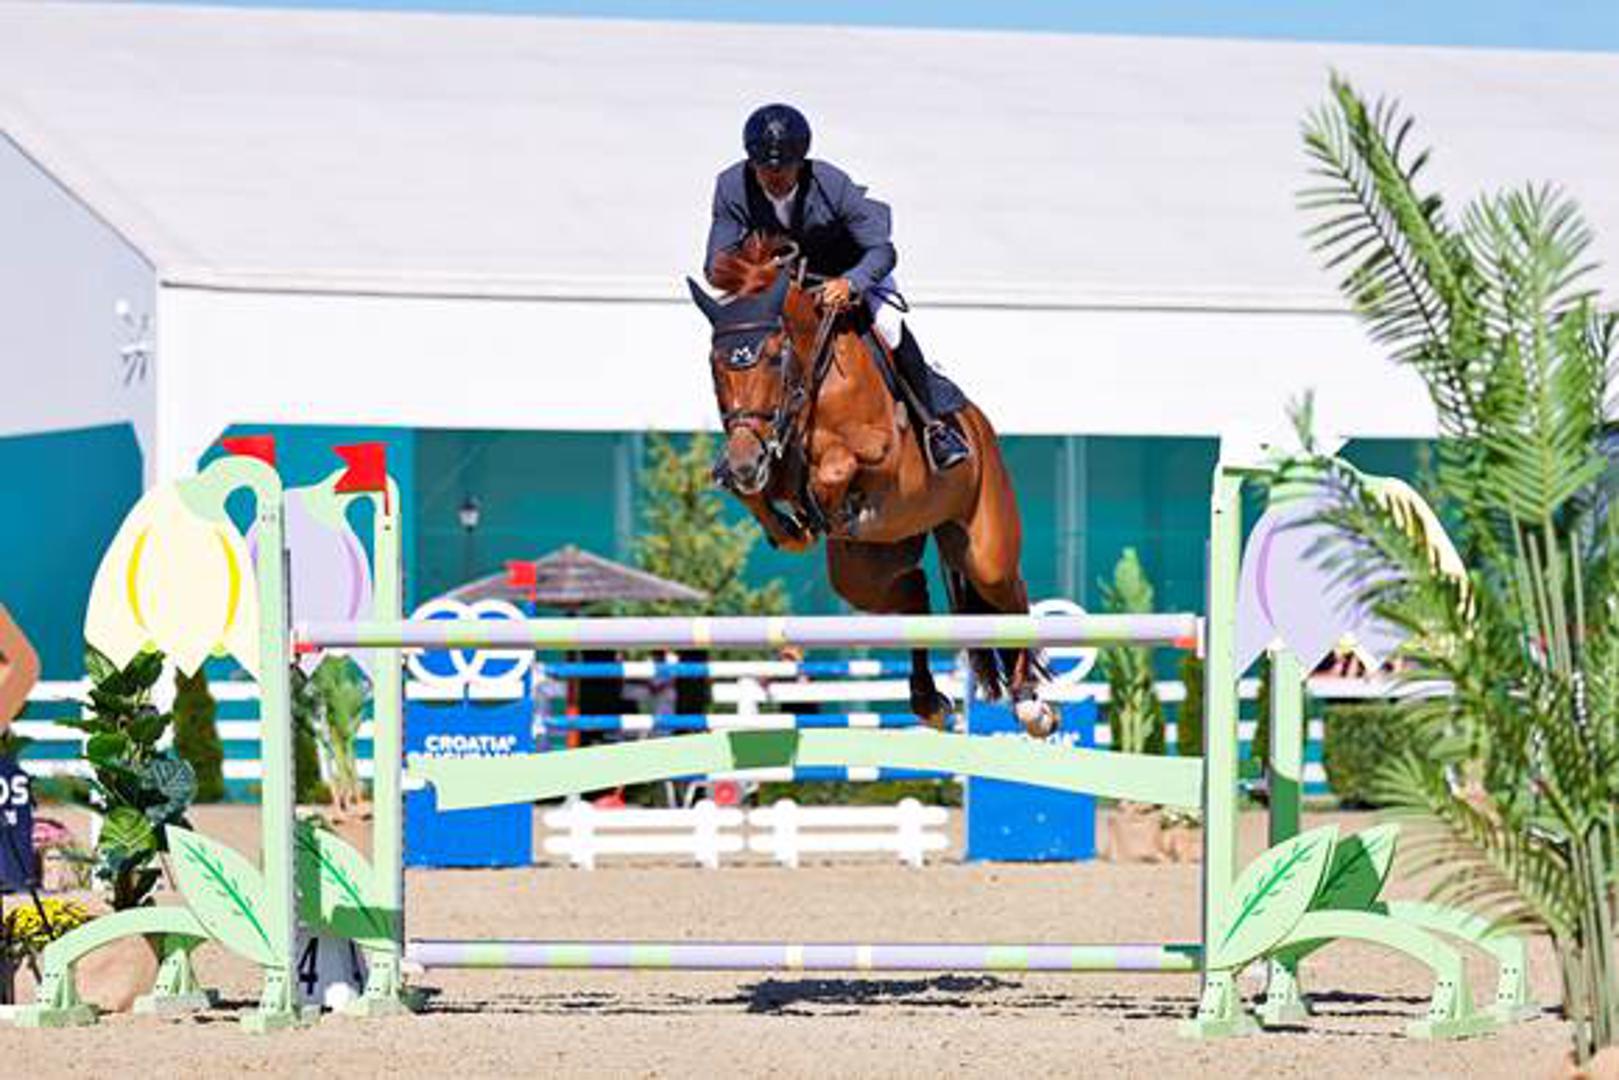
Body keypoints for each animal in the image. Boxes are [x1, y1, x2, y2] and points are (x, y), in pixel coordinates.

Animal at [686, 234, 1056, 737]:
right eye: (714, 365)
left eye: (775, 356)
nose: (745, 461)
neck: (812, 378)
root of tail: (979, 425)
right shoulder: (765, 453)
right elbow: (757, 491)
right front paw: (794, 527)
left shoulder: (882, 451)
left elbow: (837, 465)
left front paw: (821, 508)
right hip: (867, 568)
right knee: (914, 592)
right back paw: (929, 700)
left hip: (983, 548)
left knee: (1009, 592)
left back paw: (1030, 704)